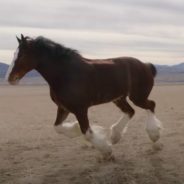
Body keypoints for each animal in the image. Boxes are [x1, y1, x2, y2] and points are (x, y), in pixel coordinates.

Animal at [6, 34, 161, 160]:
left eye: (21, 55)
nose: (10, 78)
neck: (66, 73)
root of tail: (146, 65)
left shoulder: (80, 109)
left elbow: (87, 133)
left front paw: (107, 151)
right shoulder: (63, 107)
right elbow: (57, 127)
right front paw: (76, 128)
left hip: (137, 97)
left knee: (151, 105)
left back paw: (154, 136)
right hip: (119, 98)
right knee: (131, 111)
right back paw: (115, 136)